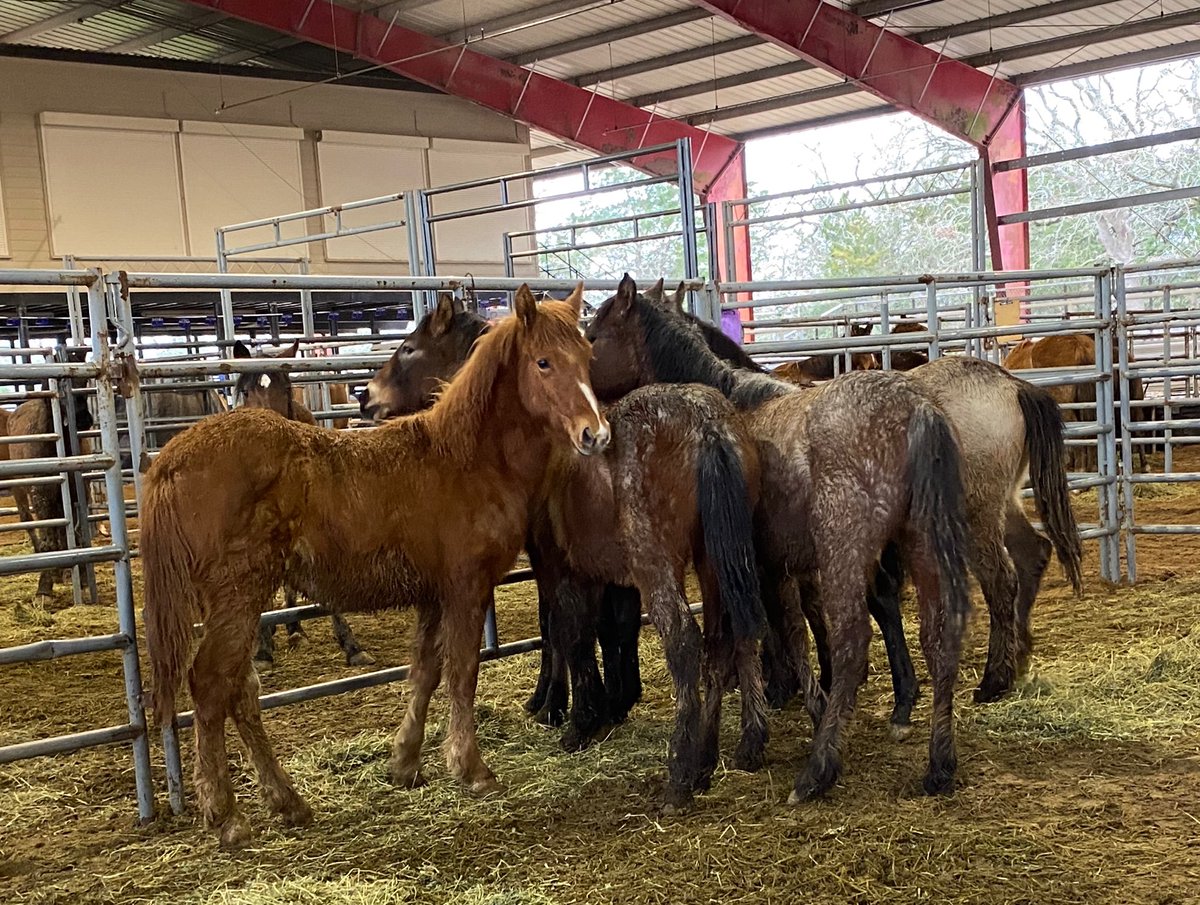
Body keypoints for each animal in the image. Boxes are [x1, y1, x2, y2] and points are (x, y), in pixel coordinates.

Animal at [5, 351, 94, 623]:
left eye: (84, 380)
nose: (84, 419)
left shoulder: (79, 493)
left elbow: (78, 534)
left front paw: (82, 579)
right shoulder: (41, 494)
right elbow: (48, 540)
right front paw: (43, 589)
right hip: (24, 493)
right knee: (36, 525)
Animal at [361, 292, 770, 811]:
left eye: (409, 348)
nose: (366, 396)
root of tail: (708, 424)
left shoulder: (553, 560)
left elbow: (562, 629)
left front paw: (571, 716)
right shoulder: (595, 568)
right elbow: (599, 630)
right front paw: (603, 706)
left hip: (659, 566)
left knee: (685, 643)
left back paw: (680, 774)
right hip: (716, 565)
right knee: (724, 642)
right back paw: (708, 760)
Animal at [587, 275, 973, 801]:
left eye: (592, 335)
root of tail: (916, 410)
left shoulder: (757, 567)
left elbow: (761, 638)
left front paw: (754, 737)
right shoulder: (773, 568)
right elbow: (782, 633)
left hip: (844, 552)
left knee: (853, 641)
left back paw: (817, 772)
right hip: (920, 544)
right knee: (939, 635)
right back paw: (938, 765)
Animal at [653, 288, 1082, 723]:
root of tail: (1012, 384)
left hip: (976, 513)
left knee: (1002, 579)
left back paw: (995, 678)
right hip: (1001, 503)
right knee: (1032, 553)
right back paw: (1019, 655)